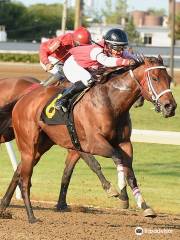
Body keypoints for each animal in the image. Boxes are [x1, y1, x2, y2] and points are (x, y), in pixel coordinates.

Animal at [0, 55, 177, 222]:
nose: (171, 106)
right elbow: (109, 160)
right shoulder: (92, 143)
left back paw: (4, 206)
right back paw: (31, 217)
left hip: (40, 146)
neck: (111, 102)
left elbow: (129, 172)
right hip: (28, 144)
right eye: (155, 78)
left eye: (169, 79)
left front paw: (144, 205)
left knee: (20, 171)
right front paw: (116, 192)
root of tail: (23, 98)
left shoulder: (124, 143)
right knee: (25, 178)